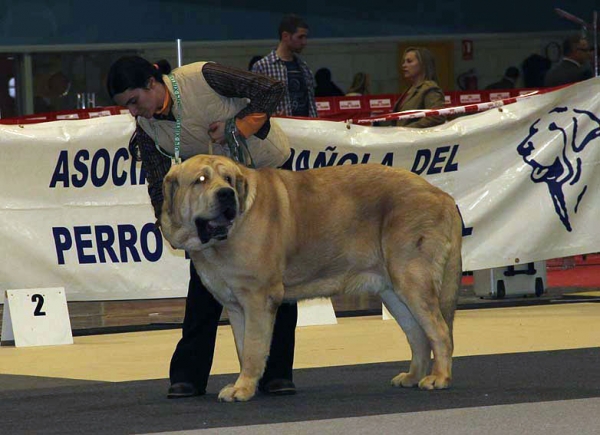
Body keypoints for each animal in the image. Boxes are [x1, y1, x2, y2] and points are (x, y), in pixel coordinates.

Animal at [161, 155, 464, 404]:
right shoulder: (236, 307)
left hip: (412, 280)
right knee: (418, 336)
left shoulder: (258, 299)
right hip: (393, 292)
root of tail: (443, 195)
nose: (227, 194)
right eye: (201, 180)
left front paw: (243, 389)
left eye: (229, 180)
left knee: (440, 332)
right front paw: (246, 385)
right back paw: (412, 377)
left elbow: (253, 349)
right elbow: (242, 346)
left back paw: (439, 379)